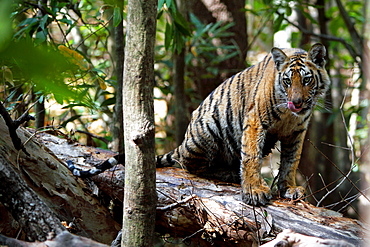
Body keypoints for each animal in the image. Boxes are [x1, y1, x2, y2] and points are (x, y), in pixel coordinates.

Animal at [67, 43, 330, 206]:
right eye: (287, 82)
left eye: (306, 80)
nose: (296, 102)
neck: (289, 116)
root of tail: (183, 142)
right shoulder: (256, 121)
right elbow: (251, 157)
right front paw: (254, 191)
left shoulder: (296, 132)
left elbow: (291, 161)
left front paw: (289, 189)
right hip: (209, 129)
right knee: (189, 165)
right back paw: (229, 173)